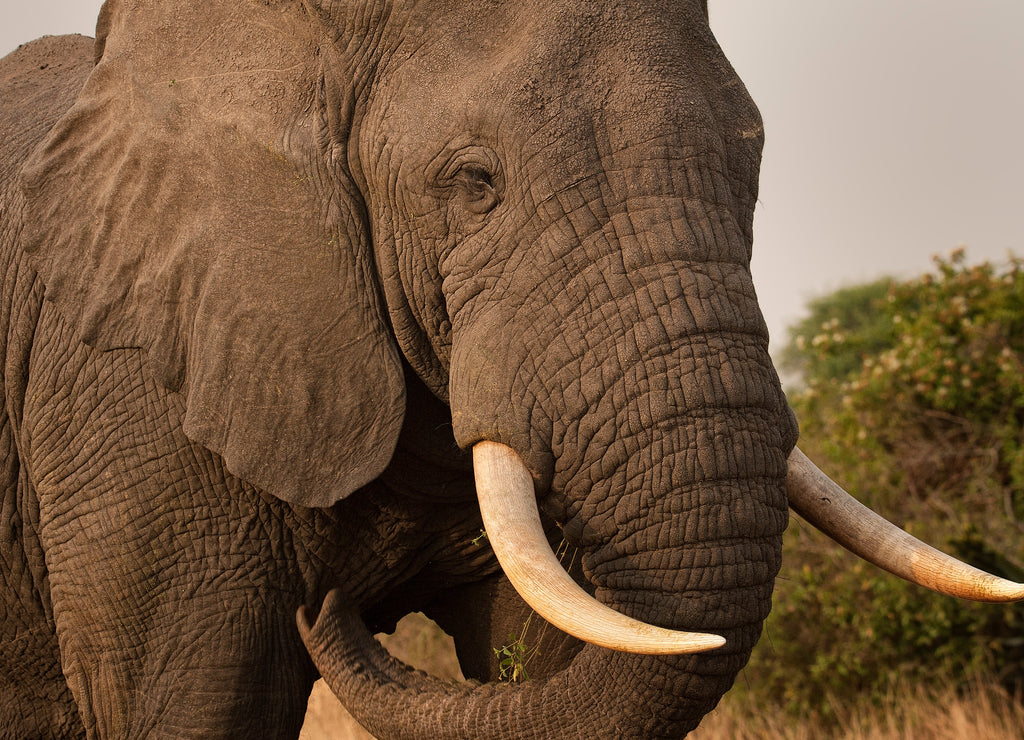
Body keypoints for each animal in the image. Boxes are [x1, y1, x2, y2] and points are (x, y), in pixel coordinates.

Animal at [1, 0, 1020, 738]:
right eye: (473, 182)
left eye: (754, 162)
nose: (325, 611)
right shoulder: (123, 393)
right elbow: (198, 703)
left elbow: (541, 652)